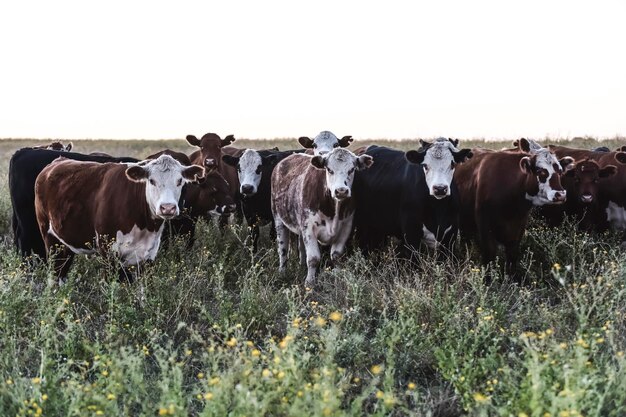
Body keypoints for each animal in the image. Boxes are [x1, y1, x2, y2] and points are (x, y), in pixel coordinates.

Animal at [34, 154, 202, 278]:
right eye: (151, 180)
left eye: (180, 181)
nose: (167, 207)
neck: (144, 225)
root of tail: (56, 161)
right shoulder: (108, 251)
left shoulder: (149, 255)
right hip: (49, 238)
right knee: (55, 273)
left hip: (67, 242)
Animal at [270, 147, 370, 286]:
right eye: (329, 169)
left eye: (352, 169)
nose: (341, 191)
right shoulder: (309, 228)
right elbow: (313, 258)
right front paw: (309, 282)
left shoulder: (346, 227)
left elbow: (336, 255)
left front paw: (337, 276)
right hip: (278, 219)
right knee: (283, 249)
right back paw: (282, 272)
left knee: (301, 247)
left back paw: (301, 266)